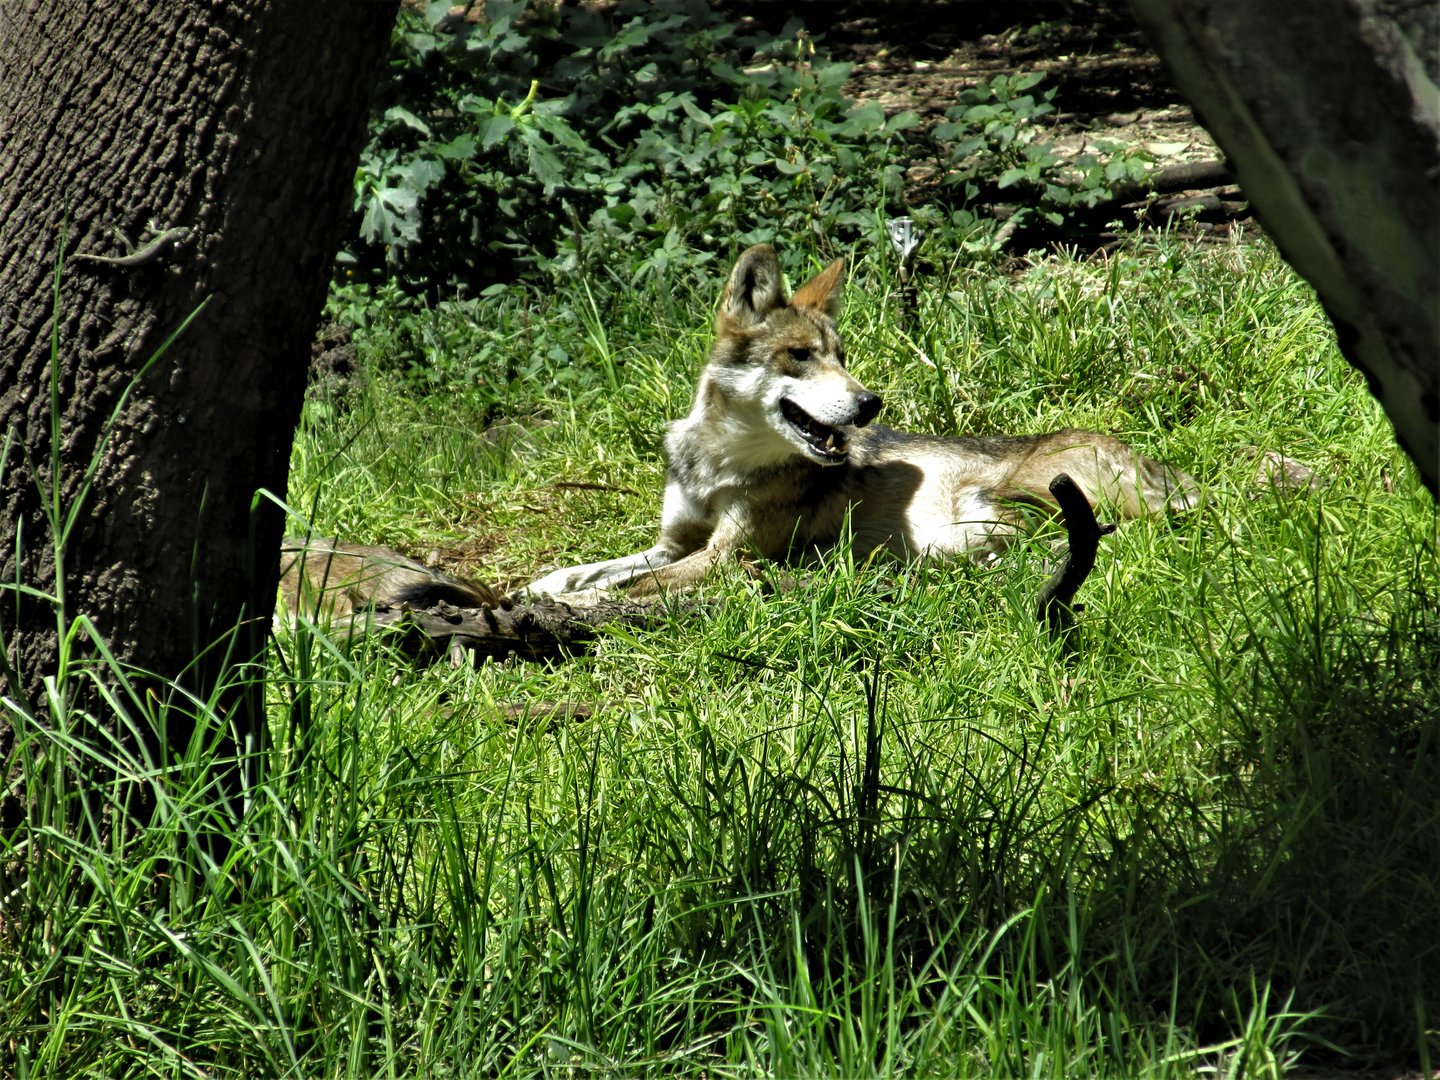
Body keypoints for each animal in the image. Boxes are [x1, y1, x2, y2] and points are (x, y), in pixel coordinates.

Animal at [524, 244, 1197, 600]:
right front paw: (540, 587)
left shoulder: (723, 557)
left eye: (841, 357)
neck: (721, 464)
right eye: (800, 356)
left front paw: (576, 606)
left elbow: (619, 587)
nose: (871, 404)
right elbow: (596, 566)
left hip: (1008, 498)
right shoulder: (675, 542)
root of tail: (1168, 473)